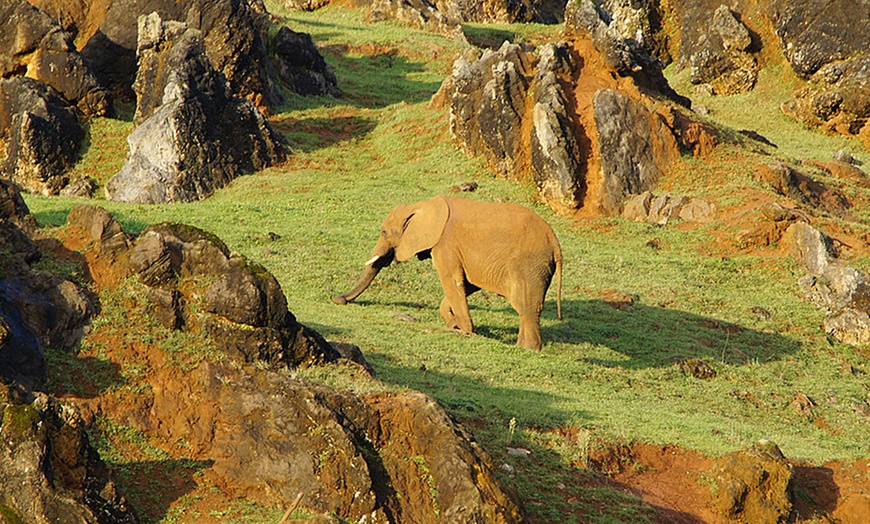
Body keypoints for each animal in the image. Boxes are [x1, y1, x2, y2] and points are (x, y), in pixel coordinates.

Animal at [334, 194, 564, 350]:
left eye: (383, 232)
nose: (338, 299)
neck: (420, 206)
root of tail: (555, 242)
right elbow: (467, 284)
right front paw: (454, 324)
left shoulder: (445, 243)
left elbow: (452, 280)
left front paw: (464, 330)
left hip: (529, 266)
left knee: (526, 307)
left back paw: (526, 348)